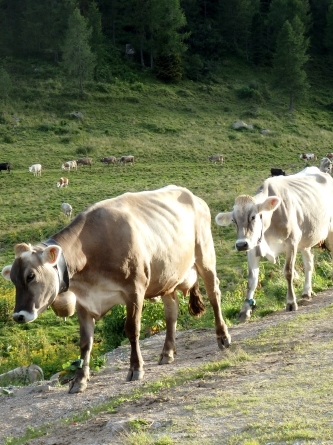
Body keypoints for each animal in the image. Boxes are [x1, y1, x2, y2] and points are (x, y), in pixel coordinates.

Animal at [1, 186, 230, 394]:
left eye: (31, 275)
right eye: (13, 279)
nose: (19, 315)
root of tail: (192, 195)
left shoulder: (135, 289)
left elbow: (132, 329)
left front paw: (136, 368)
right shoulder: (84, 301)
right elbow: (85, 342)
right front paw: (79, 380)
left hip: (205, 257)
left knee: (214, 295)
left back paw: (223, 337)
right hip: (167, 277)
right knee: (171, 313)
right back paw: (167, 353)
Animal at [215, 167, 333, 322]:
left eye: (253, 216)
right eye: (234, 220)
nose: (240, 245)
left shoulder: (291, 242)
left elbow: (288, 272)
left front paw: (291, 302)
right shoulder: (252, 248)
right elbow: (251, 280)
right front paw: (245, 310)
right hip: (306, 238)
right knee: (309, 263)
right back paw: (307, 292)